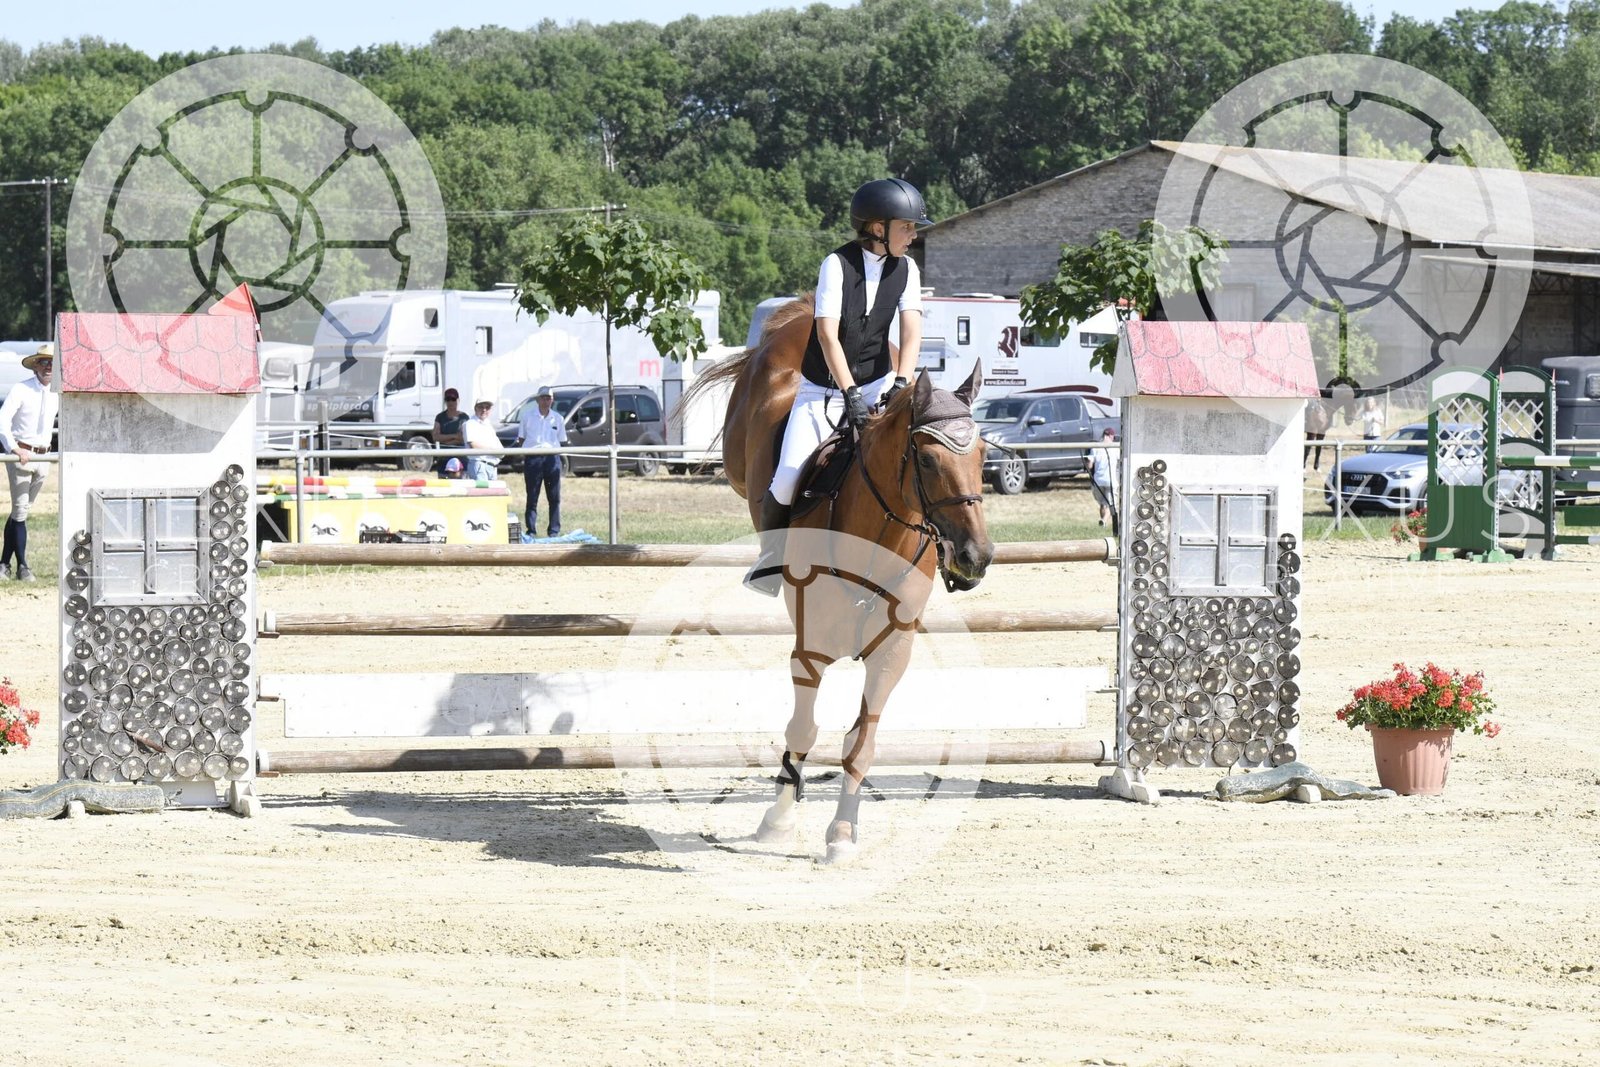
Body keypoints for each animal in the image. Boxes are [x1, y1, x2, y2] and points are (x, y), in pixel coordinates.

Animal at [686, 295, 995, 863]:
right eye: (926, 458)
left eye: (983, 454)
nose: (975, 557)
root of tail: (799, 314)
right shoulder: (810, 648)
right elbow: (803, 728)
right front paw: (778, 819)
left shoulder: (893, 651)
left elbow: (860, 742)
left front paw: (844, 831)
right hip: (743, 452)